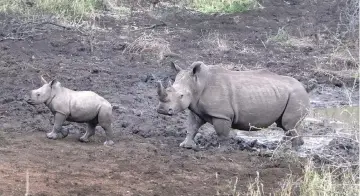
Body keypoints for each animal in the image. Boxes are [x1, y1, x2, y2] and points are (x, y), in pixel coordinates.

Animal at [156, 62, 310, 149]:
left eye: (181, 96)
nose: (161, 110)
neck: (197, 84)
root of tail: (304, 87)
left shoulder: (221, 115)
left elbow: (222, 133)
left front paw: (222, 149)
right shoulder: (195, 107)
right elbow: (192, 127)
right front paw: (186, 146)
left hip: (296, 95)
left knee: (289, 125)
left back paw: (292, 150)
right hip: (290, 94)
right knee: (285, 125)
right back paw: (287, 147)